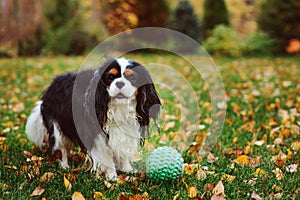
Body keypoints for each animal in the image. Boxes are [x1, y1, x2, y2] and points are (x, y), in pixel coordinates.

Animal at [25, 57, 162, 180]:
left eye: (132, 78)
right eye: (110, 77)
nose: (119, 83)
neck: (119, 108)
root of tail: (53, 84)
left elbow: (122, 151)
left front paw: (127, 169)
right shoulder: (98, 135)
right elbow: (106, 157)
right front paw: (112, 177)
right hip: (57, 127)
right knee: (60, 147)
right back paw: (64, 166)